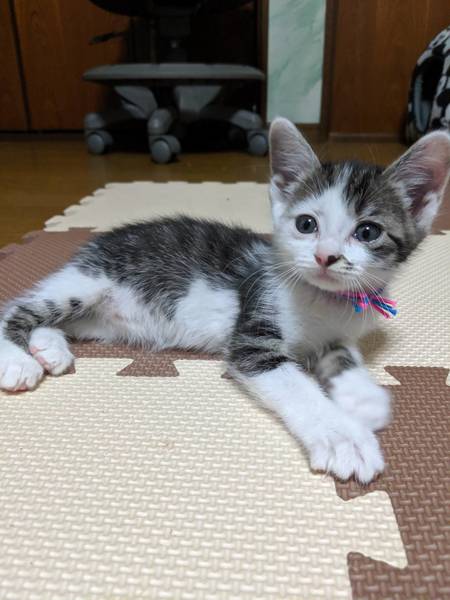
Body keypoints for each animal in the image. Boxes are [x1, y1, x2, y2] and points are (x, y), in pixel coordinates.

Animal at [1, 118, 449, 484]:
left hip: (100, 318)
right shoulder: (253, 332)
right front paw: (344, 436)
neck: (321, 299)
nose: (326, 257)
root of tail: (95, 240)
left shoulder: (336, 333)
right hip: (87, 282)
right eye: (306, 225)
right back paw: (19, 360)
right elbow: (295, 385)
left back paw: (49, 348)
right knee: (16, 308)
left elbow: (344, 355)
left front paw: (364, 398)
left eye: (368, 232)